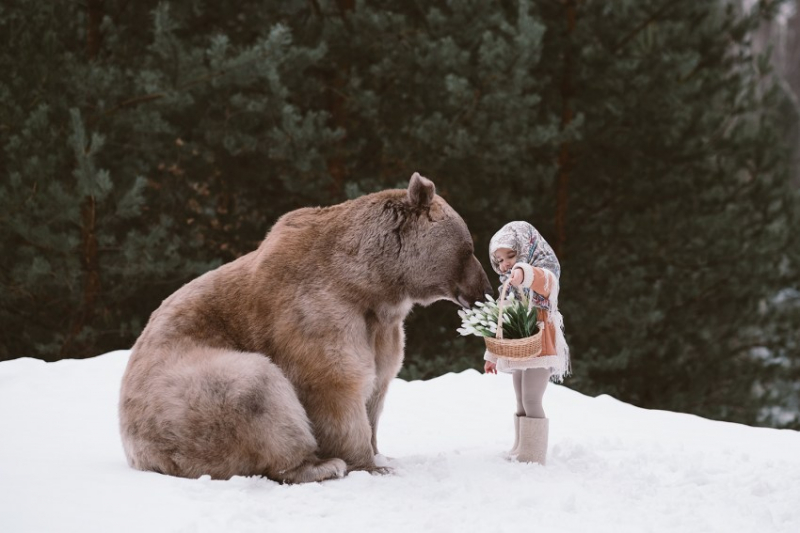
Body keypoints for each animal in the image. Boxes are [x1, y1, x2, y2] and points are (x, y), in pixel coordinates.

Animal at [117, 171, 494, 482]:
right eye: (468, 249)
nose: (485, 289)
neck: (371, 285)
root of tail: (138, 456)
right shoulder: (317, 309)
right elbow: (335, 381)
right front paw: (368, 464)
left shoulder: (382, 329)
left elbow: (378, 384)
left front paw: (381, 453)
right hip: (183, 398)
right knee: (256, 390)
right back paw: (317, 466)